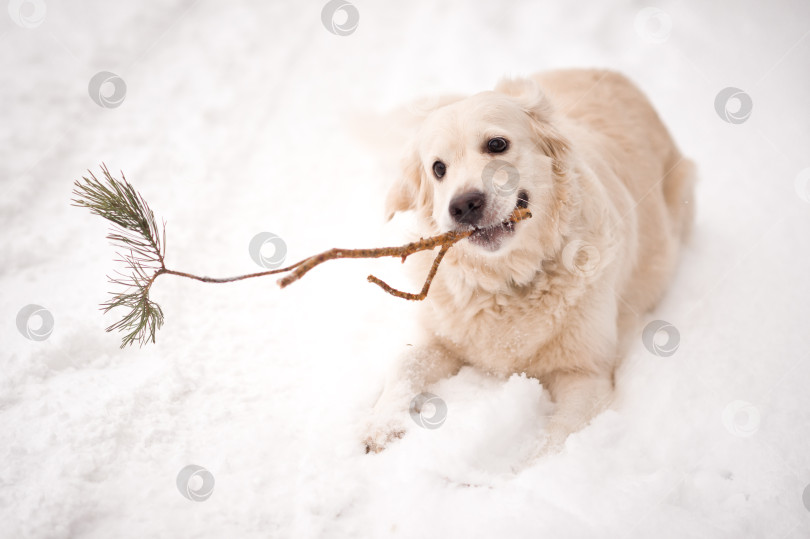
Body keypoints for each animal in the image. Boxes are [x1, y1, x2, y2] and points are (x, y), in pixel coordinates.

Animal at [362, 67, 692, 456]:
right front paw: (382, 424)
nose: (463, 205)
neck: (508, 280)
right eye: (438, 168)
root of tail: (613, 74)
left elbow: (555, 441)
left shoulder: (586, 374)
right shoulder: (440, 337)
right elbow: (405, 364)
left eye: (497, 144)